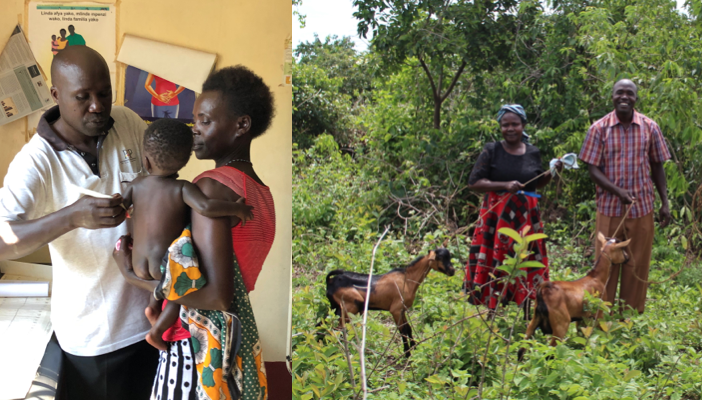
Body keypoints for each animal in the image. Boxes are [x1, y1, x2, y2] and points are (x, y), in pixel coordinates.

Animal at [326, 247, 456, 356]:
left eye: (449, 257)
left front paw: (414, 348)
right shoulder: (395, 310)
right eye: (439, 258)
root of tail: (330, 282)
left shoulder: (402, 309)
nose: (452, 271)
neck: (407, 279)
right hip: (350, 307)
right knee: (339, 329)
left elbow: (408, 328)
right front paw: (407, 354)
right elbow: (402, 330)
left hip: (337, 307)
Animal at [520, 231, 636, 360]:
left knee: (522, 347)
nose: (627, 257)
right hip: (561, 324)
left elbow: (582, 335)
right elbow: (602, 331)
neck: (596, 277)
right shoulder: (599, 311)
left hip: (534, 320)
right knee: (550, 350)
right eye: (622, 249)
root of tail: (544, 290)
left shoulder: (582, 317)